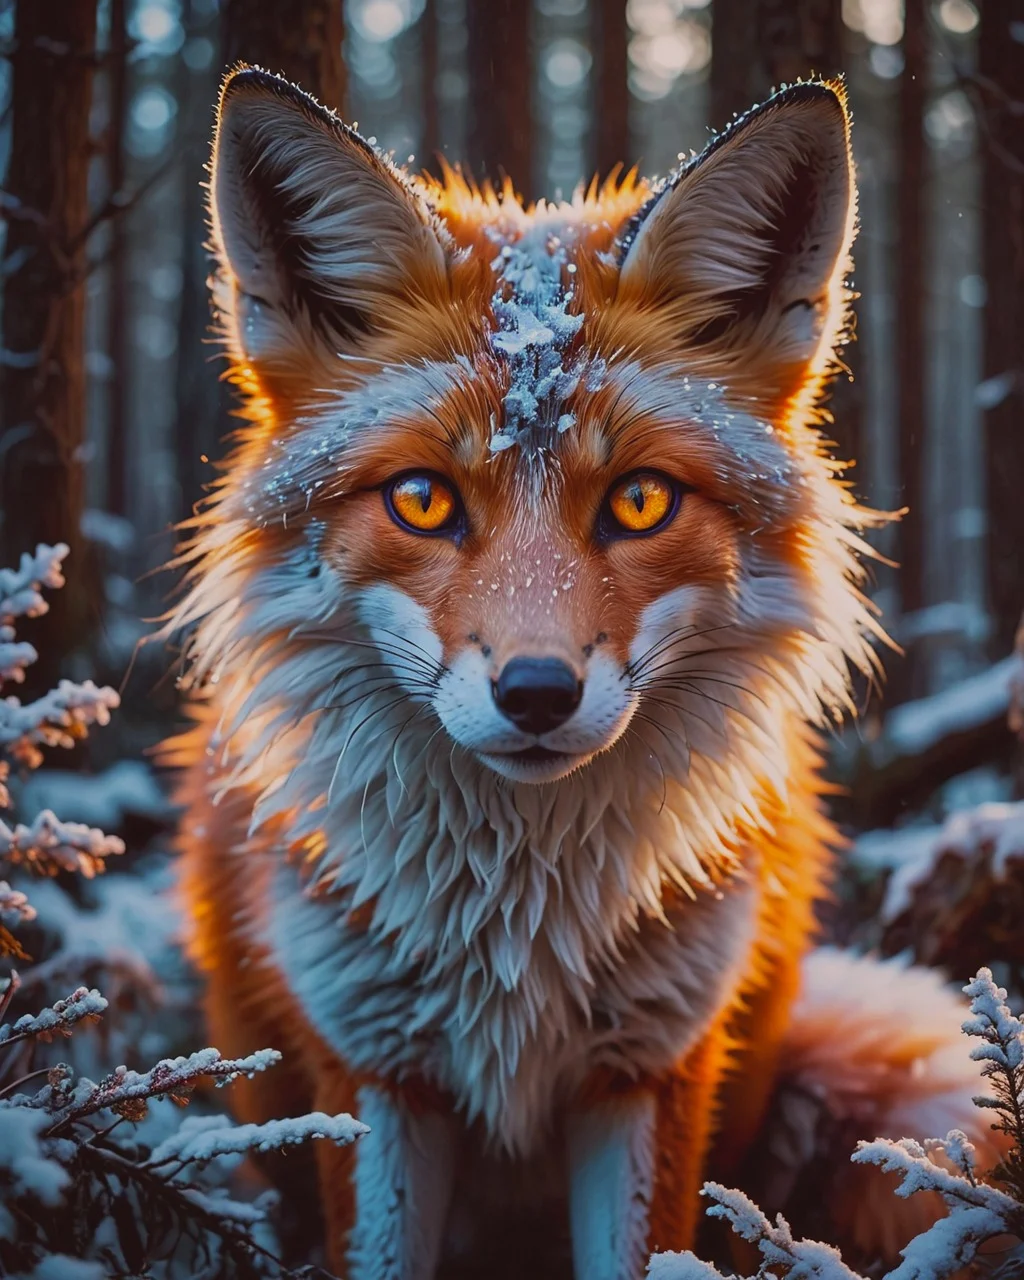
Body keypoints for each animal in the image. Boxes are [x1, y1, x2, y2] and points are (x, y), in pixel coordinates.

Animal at [169, 66, 1000, 1278]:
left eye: (640, 501)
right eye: (422, 500)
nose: (535, 693)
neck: (520, 936)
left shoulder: (649, 1067)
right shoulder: (374, 1071)